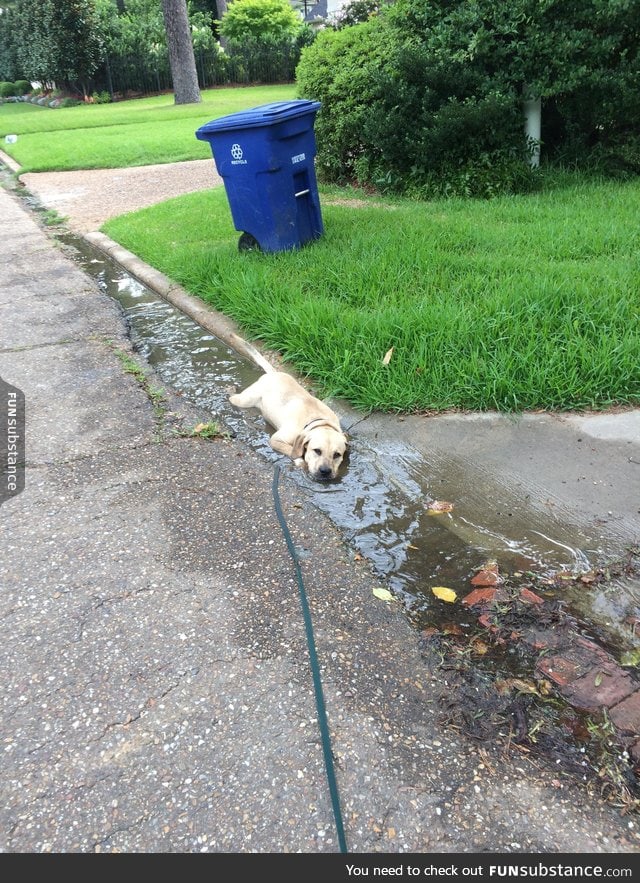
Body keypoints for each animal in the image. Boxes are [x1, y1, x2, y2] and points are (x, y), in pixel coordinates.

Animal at [228, 346, 348, 484]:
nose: (325, 471)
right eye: (317, 451)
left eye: (337, 455)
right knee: (233, 398)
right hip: (245, 400)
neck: (318, 421)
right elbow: (291, 450)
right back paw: (230, 390)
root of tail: (273, 373)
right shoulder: (276, 440)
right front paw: (300, 460)